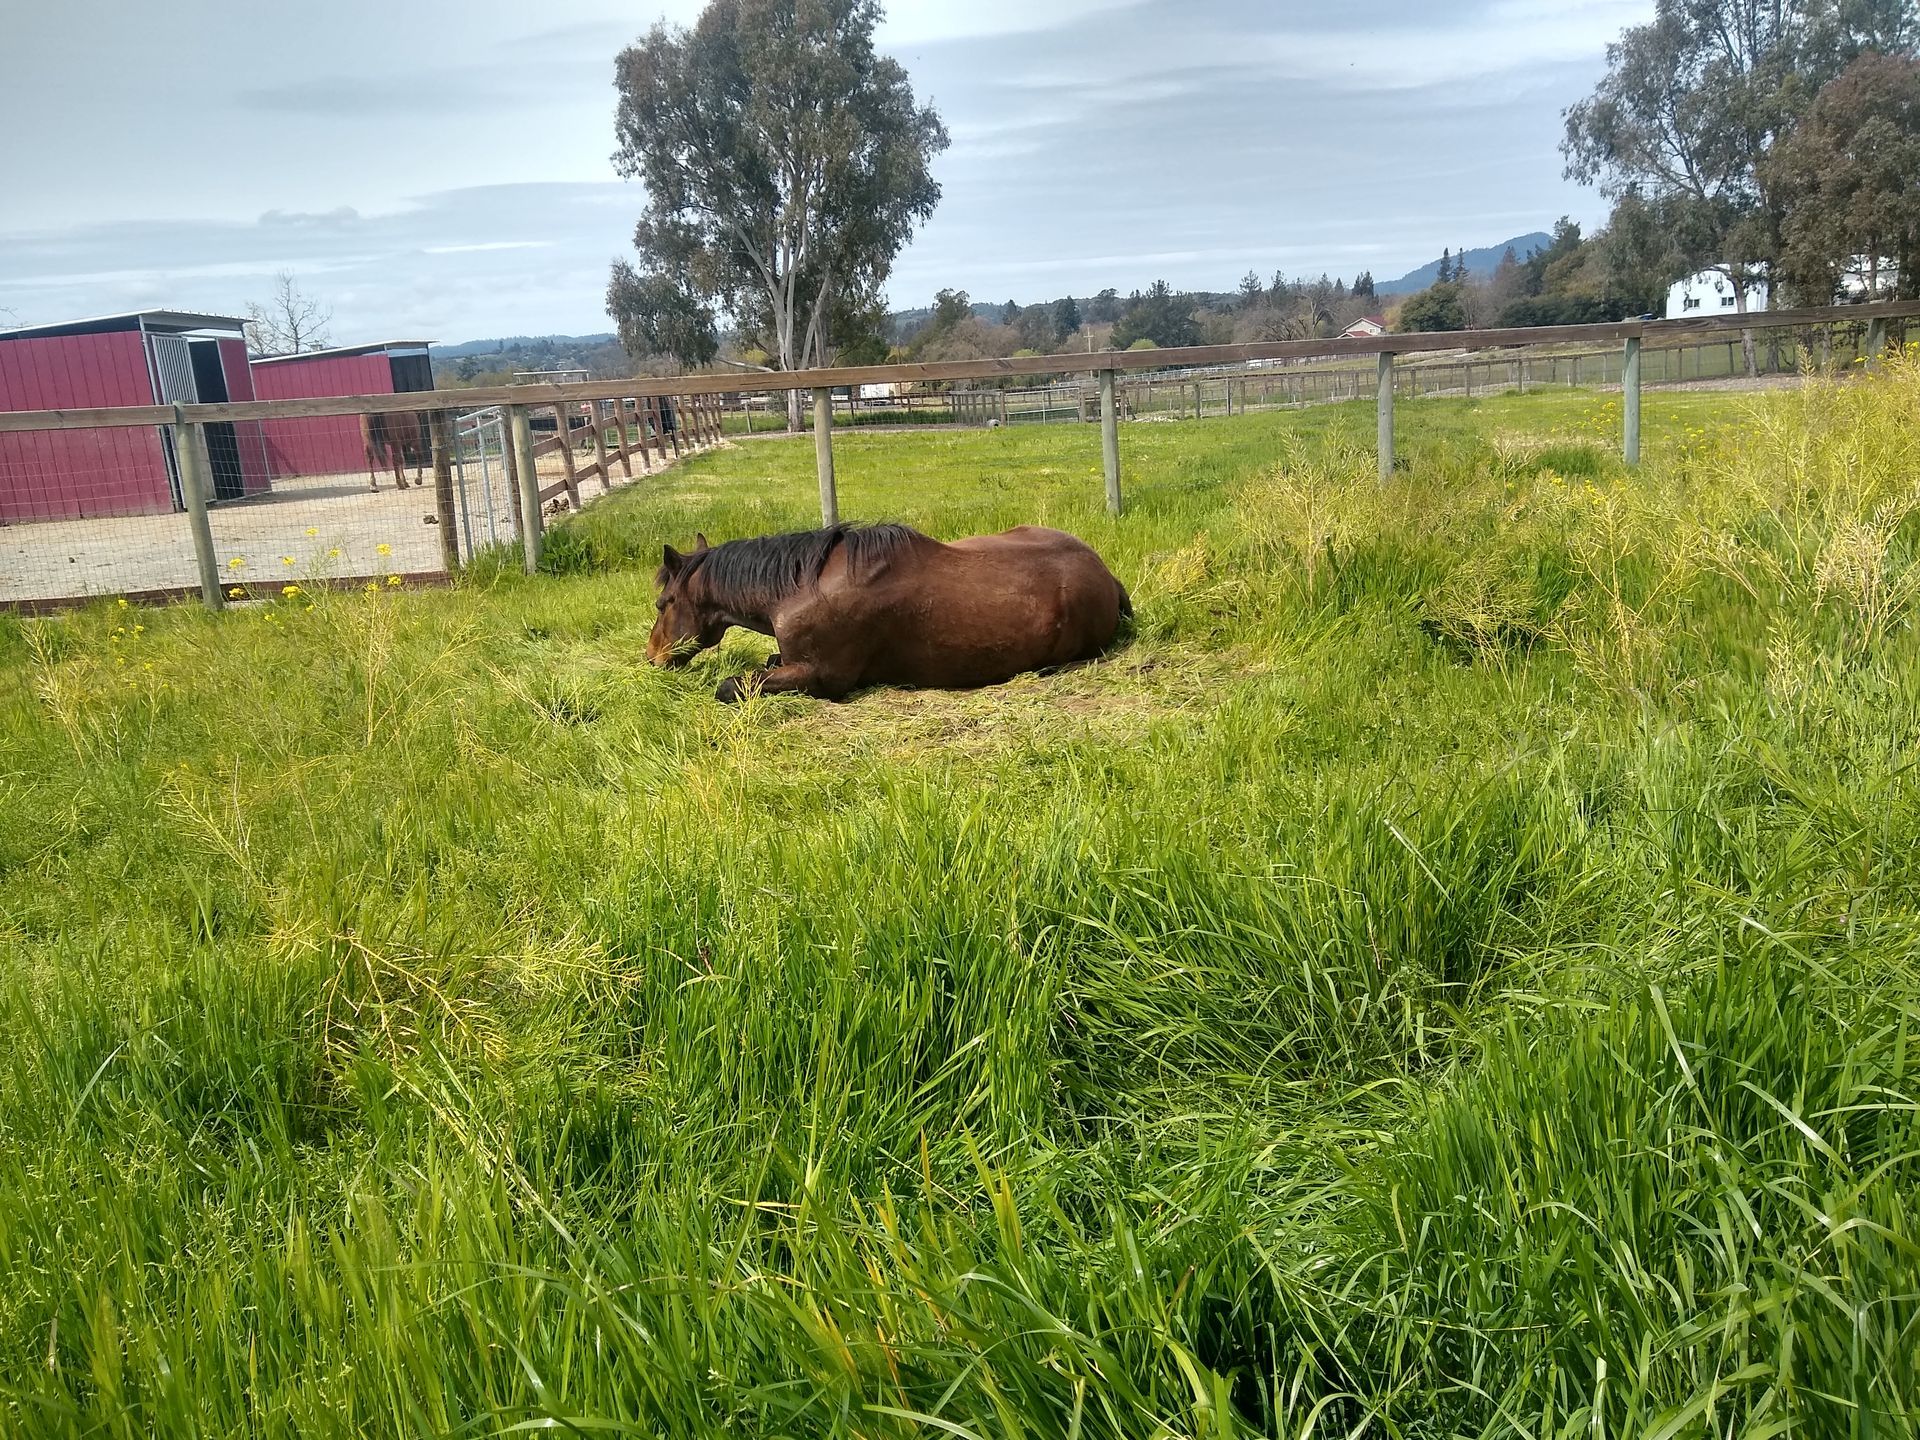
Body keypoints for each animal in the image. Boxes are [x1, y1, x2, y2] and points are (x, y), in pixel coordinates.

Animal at [647, 522, 1131, 702]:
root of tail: (1106, 575)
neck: (801, 589)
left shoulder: (819, 677)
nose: (651, 657)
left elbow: (730, 686)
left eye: (662, 603)